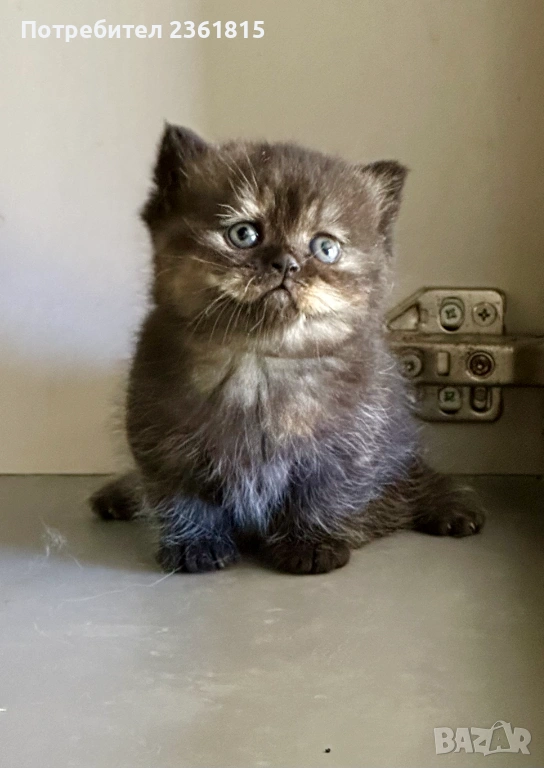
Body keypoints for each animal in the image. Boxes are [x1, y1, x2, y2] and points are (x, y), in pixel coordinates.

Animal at [90, 124, 484, 574]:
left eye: (325, 247)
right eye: (244, 234)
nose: (286, 263)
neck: (258, 363)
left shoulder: (347, 447)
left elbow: (321, 495)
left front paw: (309, 544)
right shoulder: (162, 441)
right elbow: (181, 497)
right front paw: (195, 545)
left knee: (416, 477)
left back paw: (451, 506)